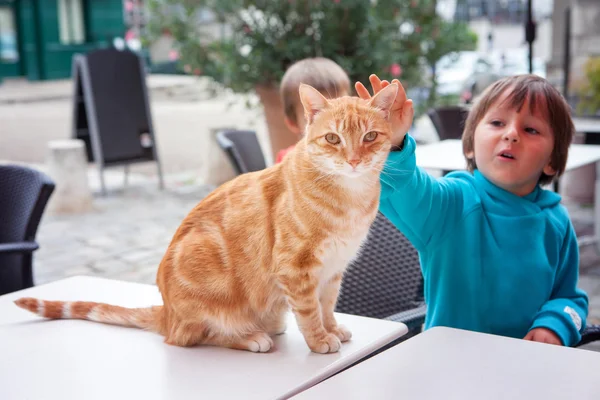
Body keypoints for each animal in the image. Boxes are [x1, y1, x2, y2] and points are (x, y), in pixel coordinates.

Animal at [14, 82, 398, 354]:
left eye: (370, 136)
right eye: (333, 138)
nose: (353, 160)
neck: (350, 197)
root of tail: (167, 313)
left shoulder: (332, 270)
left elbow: (327, 306)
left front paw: (332, 329)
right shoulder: (296, 268)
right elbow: (309, 311)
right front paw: (319, 340)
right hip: (202, 280)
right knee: (191, 337)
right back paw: (250, 337)